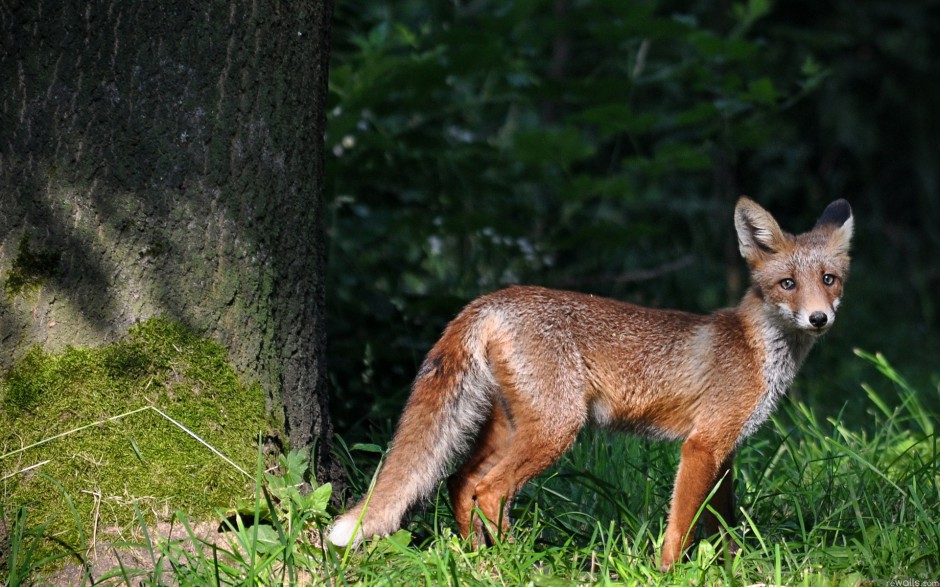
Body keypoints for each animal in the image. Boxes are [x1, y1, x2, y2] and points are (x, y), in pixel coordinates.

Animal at [330, 198, 852, 568]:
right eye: (787, 284)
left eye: (829, 279)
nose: (819, 319)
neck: (755, 347)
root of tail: (491, 299)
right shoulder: (702, 445)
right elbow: (681, 526)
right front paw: (670, 572)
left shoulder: (725, 450)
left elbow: (722, 526)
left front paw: (729, 569)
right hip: (557, 427)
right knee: (489, 490)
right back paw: (519, 561)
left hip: (510, 426)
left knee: (461, 481)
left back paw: (476, 558)